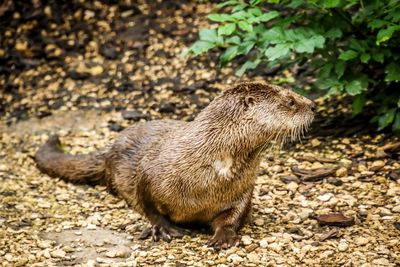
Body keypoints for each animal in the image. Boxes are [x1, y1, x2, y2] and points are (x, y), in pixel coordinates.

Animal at [35, 82, 316, 251]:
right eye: (290, 101)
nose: (312, 105)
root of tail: (111, 147)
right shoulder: (150, 173)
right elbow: (147, 202)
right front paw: (163, 228)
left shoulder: (244, 189)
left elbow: (235, 215)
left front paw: (224, 236)